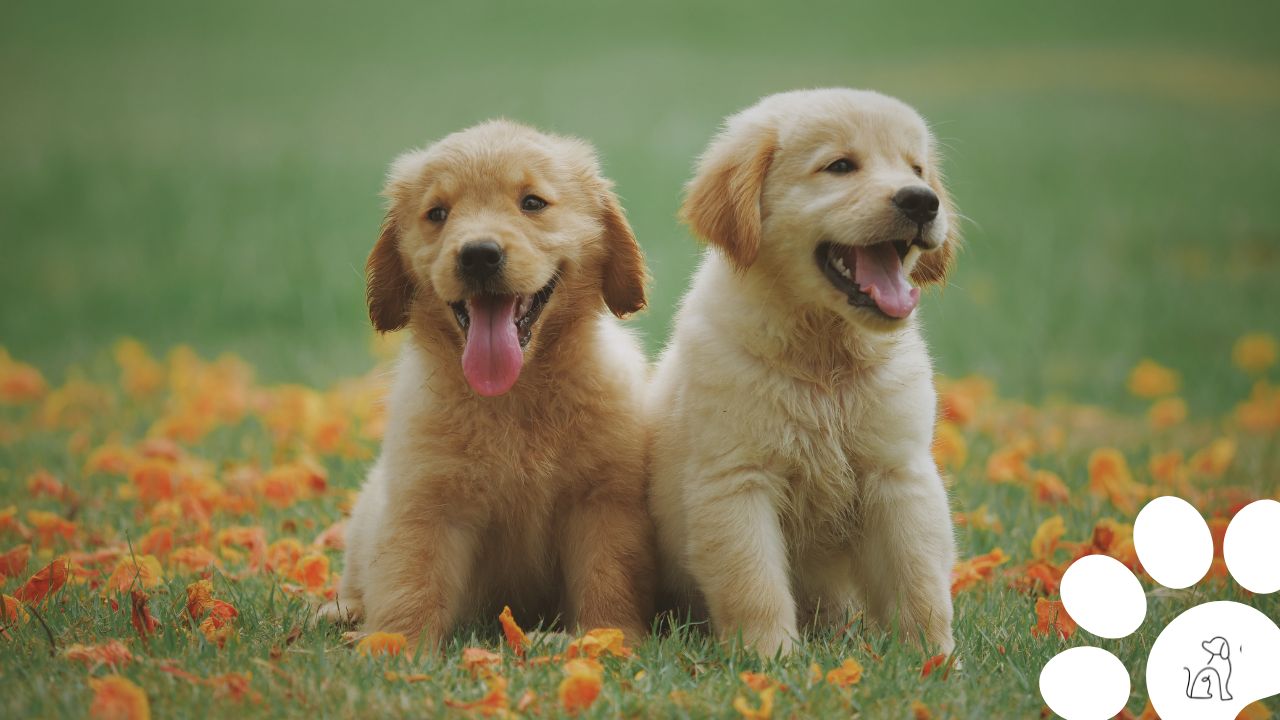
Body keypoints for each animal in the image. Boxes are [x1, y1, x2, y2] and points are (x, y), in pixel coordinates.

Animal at [325, 119, 655, 645]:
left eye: (533, 203)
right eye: (437, 214)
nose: (479, 255)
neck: (513, 397)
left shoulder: (603, 500)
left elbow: (608, 576)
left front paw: (607, 637)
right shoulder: (426, 501)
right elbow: (410, 579)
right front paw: (394, 644)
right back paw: (343, 613)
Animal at [650, 87, 962, 653]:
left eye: (917, 169)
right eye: (839, 166)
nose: (922, 201)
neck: (824, 358)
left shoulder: (898, 474)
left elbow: (920, 578)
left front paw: (934, 658)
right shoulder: (737, 481)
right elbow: (754, 584)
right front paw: (769, 657)